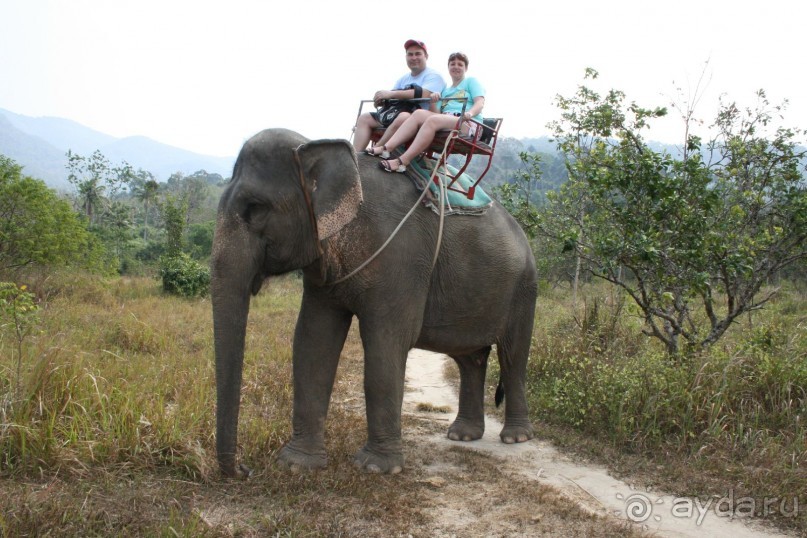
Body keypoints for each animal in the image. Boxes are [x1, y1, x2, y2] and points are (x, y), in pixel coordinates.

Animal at [213, 127, 536, 476]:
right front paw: (297, 464)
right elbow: (313, 341)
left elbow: (387, 342)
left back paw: (515, 437)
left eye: (255, 208)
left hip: (525, 287)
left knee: (513, 356)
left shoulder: (401, 258)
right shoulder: (325, 273)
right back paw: (462, 435)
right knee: (471, 358)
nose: (244, 470)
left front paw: (376, 468)